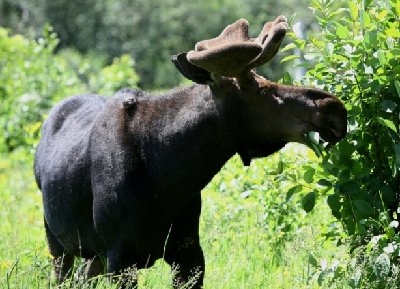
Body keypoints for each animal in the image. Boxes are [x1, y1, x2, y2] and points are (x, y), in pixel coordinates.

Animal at [34, 16, 346, 288]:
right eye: (261, 90)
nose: (334, 108)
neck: (168, 174)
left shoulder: (187, 250)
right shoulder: (121, 256)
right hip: (58, 244)